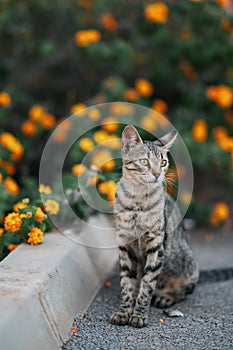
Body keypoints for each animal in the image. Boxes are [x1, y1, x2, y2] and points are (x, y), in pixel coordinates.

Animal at [110, 125, 199, 328]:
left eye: (163, 162)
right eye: (144, 161)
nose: (158, 174)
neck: (137, 201)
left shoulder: (156, 247)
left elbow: (147, 284)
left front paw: (139, 315)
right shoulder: (124, 246)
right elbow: (126, 284)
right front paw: (124, 311)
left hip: (187, 262)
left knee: (186, 288)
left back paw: (166, 296)